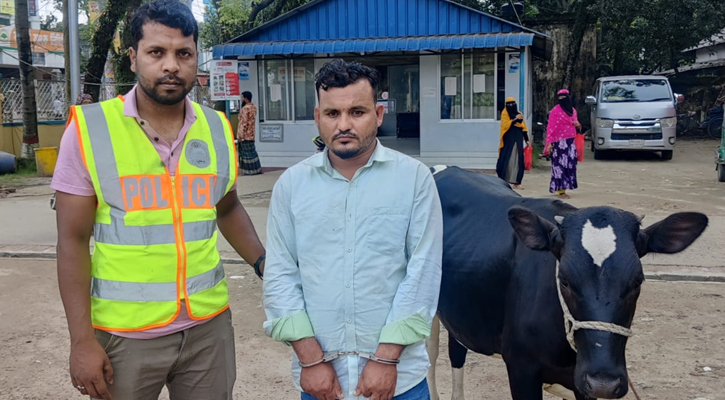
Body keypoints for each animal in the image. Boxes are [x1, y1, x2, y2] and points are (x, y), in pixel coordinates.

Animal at [424, 166, 708, 400]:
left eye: (637, 281)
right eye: (564, 280)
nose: (603, 383)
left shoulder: (582, 386)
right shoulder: (521, 368)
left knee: (457, 349)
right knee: (430, 355)